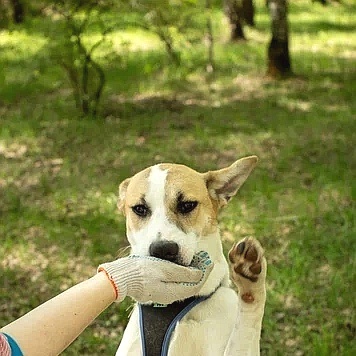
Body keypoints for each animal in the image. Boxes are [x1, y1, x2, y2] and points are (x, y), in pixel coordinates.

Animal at [117, 157, 268, 354]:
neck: (177, 306)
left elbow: (246, 327)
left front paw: (249, 276)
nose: (163, 249)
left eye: (187, 205)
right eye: (140, 209)